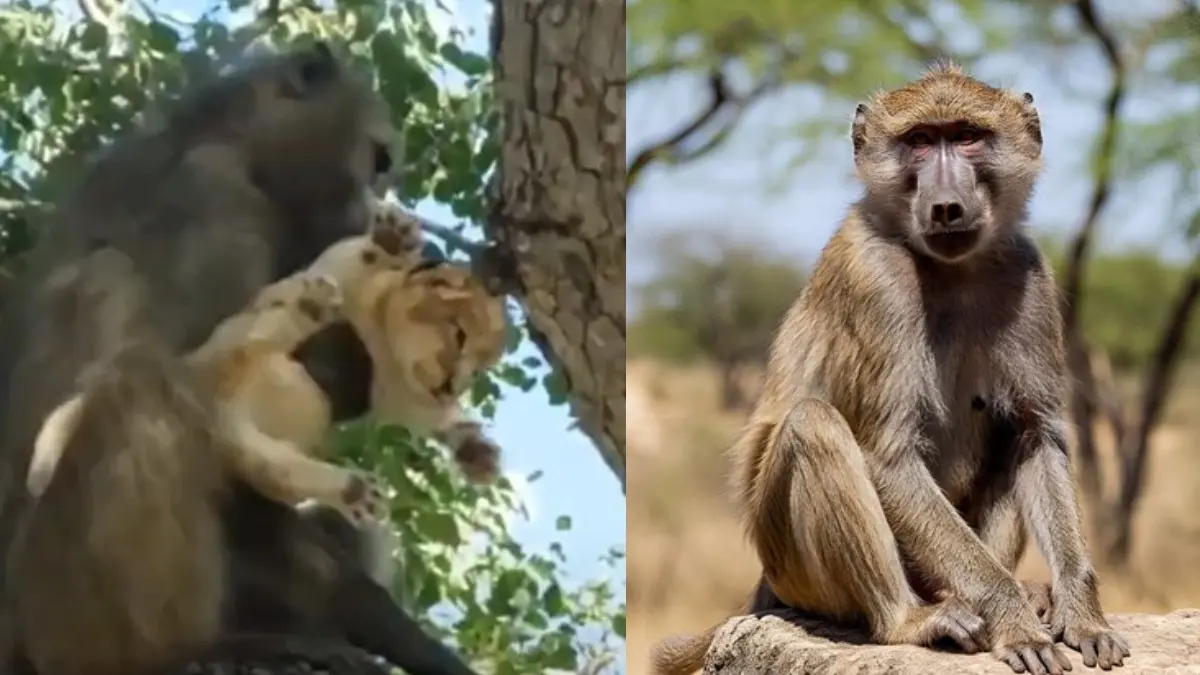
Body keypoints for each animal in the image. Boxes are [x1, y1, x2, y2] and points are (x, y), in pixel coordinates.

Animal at [0, 42, 481, 675]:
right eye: (378, 159)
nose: (371, 211)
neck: (232, 136)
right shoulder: (217, 205)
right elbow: (221, 420)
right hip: (63, 614)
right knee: (137, 385)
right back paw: (199, 646)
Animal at [650, 63, 1130, 675]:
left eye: (967, 136)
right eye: (919, 141)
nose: (946, 206)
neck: (950, 267)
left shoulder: (1030, 275)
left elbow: (1034, 436)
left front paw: (1082, 614)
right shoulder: (874, 277)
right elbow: (888, 454)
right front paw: (1015, 624)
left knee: (1004, 439)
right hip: (794, 571)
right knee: (814, 425)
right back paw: (909, 619)